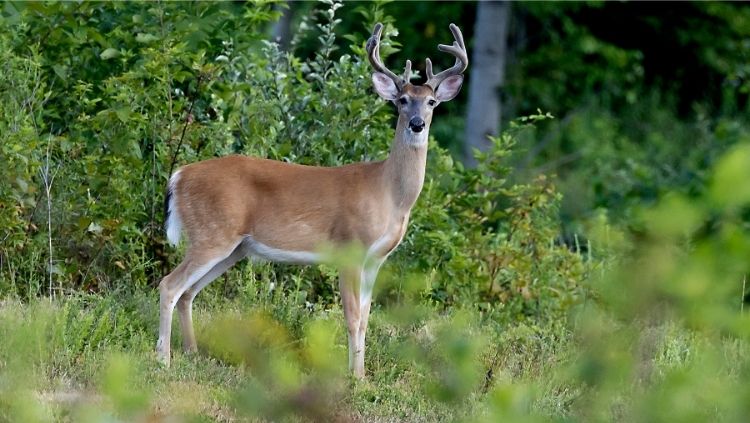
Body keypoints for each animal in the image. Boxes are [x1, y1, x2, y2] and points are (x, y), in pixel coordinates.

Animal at [156, 22, 468, 378]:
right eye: (402, 100)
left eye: (431, 102)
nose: (417, 124)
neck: (389, 194)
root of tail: (179, 175)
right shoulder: (350, 247)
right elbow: (353, 318)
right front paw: (355, 378)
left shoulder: (376, 259)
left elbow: (366, 319)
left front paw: (363, 376)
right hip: (212, 234)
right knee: (169, 285)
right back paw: (163, 360)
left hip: (233, 248)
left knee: (187, 293)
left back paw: (192, 353)